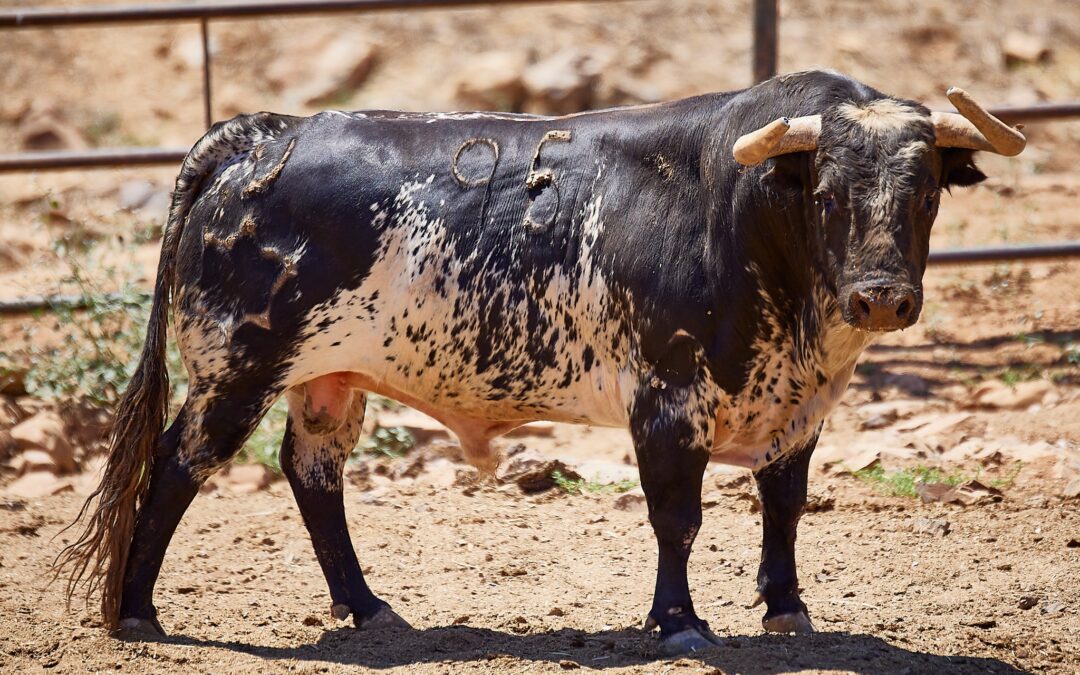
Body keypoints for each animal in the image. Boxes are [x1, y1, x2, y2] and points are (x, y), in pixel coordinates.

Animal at [54, 69, 1023, 652]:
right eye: (826, 193)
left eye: (926, 193)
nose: (882, 297)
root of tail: (263, 134)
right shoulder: (667, 400)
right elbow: (677, 517)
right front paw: (679, 622)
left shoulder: (798, 409)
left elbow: (783, 506)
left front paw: (788, 608)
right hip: (237, 369)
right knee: (178, 464)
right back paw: (137, 611)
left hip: (324, 378)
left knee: (312, 473)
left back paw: (367, 607)